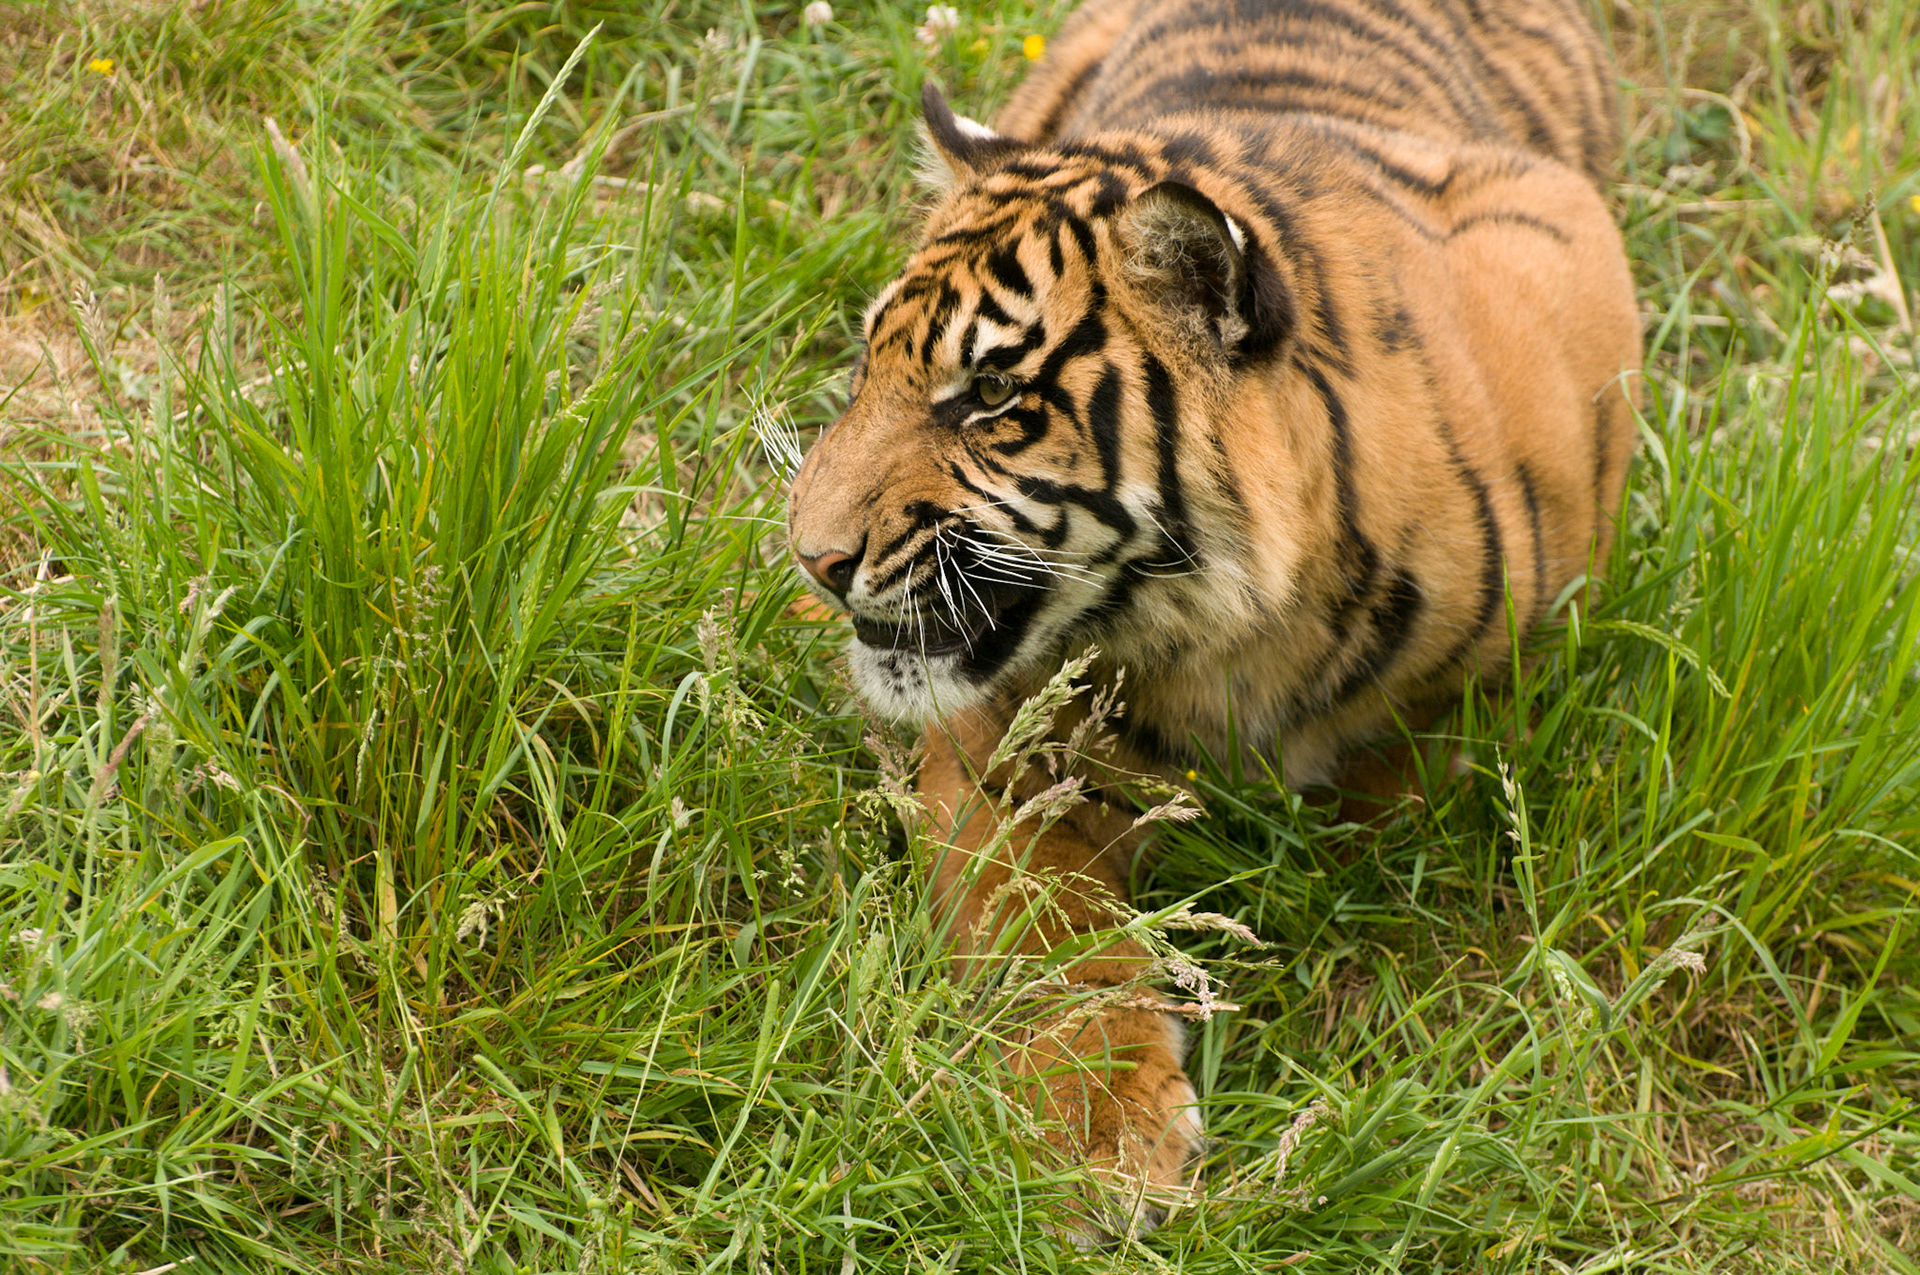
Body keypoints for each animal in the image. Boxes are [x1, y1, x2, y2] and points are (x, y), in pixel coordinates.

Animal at [786, 0, 1640, 1243]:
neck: (1237, 627)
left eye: (990, 398)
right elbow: (1043, 915)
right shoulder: (990, 735)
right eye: (866, 367)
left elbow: (1396, 807)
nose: (811, 558)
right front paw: (1100, 1130)